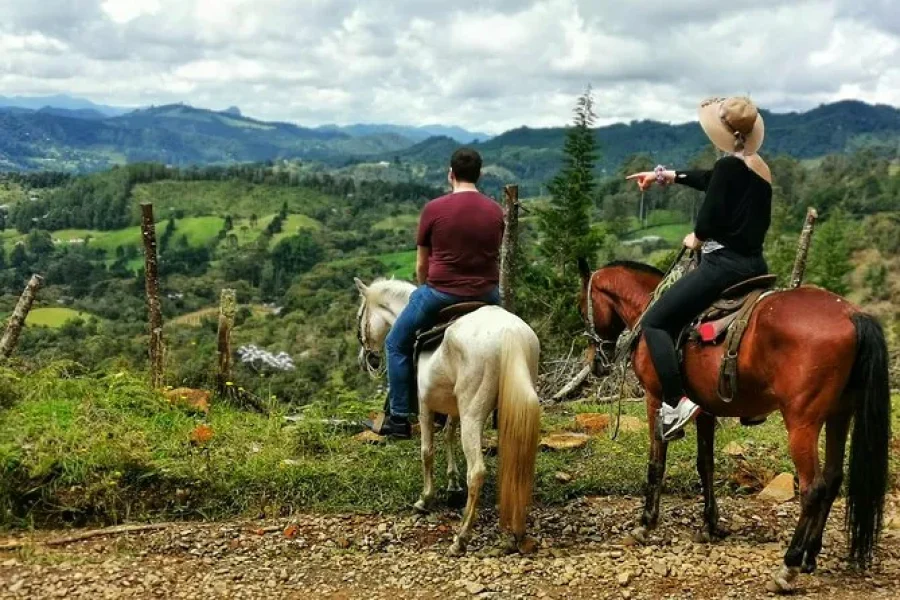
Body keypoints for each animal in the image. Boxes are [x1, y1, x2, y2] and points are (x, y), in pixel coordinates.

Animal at [356, 278, 540, 556]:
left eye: (360, 316)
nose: (367, 359)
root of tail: (510, 334)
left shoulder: (425, 406)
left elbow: (427, 451)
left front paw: (425, 498)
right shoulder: (453, 408)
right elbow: (449, 436)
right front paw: (453, 484)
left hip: (473, 412)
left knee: (477, 472)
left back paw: (461, 537)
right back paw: (516, 533)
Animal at [580, 258, 888, 592]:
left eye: (582, 308)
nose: (595, 362)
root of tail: (852, 313)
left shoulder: (655, 397)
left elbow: (656, 465)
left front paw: (645, 524)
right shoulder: (705, 409)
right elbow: (705, 464)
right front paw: (710, 524)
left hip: (802, 421)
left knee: (813, 488)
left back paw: (789, 565)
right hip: (839, 414)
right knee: (832, 479)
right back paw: (809, 556)